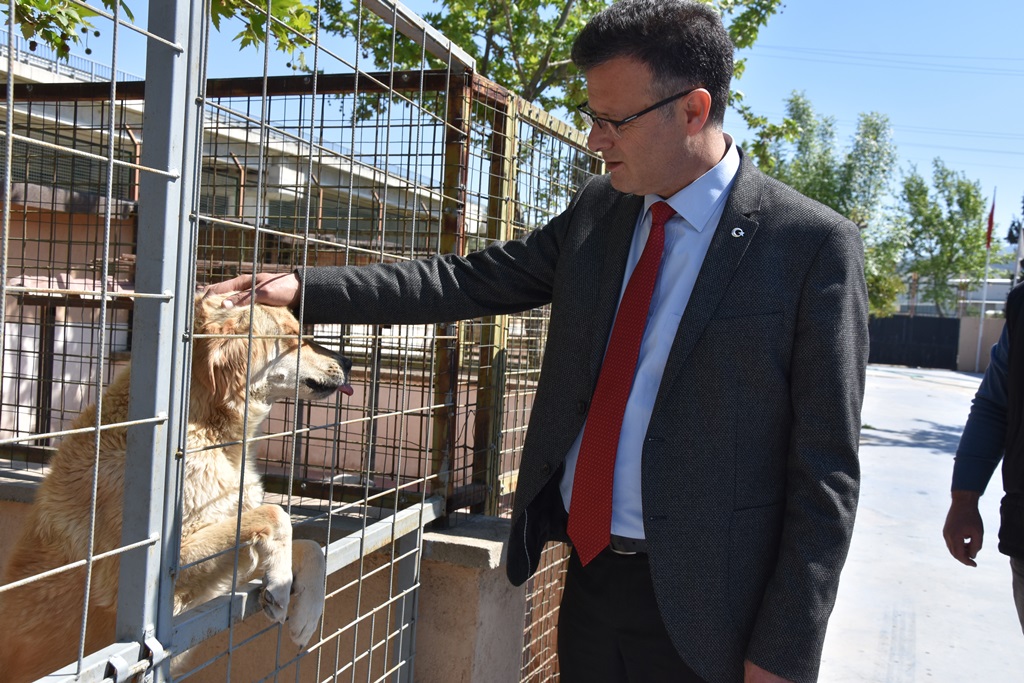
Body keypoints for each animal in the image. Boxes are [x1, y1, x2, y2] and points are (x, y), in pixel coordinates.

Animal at [0, 294, 352, 683]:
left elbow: (310, 545)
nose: (348, 361)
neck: (206, 429)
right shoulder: (168, 572)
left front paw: (306, 614)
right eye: (292, 338)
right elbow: (276, 515)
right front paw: (278, 582)